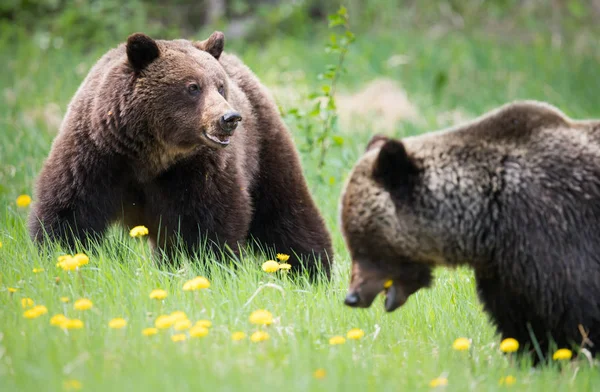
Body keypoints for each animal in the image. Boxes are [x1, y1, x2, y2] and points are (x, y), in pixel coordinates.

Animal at [29, 31, 332, 278]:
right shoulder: (95, 157)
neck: (149, 155)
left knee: (286, 212)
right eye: (192, 86)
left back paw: (313, 272)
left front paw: (214, 270)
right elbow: (68, 213)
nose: (229, 118)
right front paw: (58, 258)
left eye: (220, 86)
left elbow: (212, 225)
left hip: (263, 145)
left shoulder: (197, 170)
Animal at [340, 100, 600, 362]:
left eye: (363, 245)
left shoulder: (555, 233)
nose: (352, 297)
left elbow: (579, 314)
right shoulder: (505, 274)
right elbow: (521, 326)